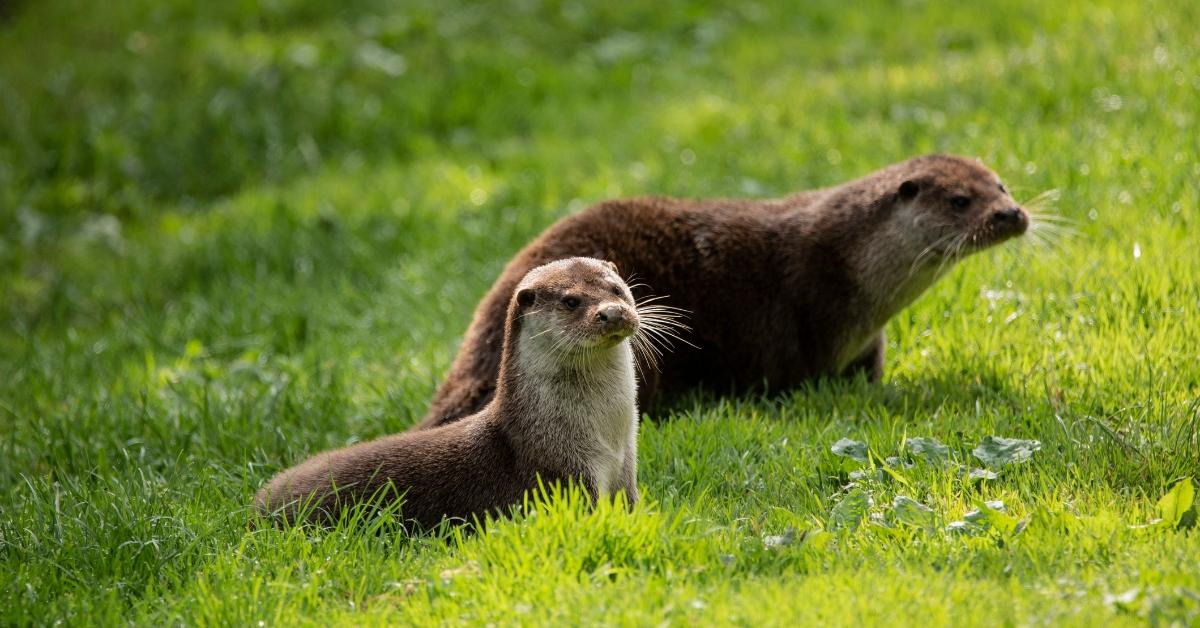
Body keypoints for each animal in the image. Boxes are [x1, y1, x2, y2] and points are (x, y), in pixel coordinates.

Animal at [253, 258, 648, 528]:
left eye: (616, 289)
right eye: (571, 301)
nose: (612, 313)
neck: (606, 435)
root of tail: (258, 501)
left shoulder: (627, 464)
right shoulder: (565, 471)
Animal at [417, 153, 1027, 432]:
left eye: (1000, 184)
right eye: (960, 201)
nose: (1013, 214)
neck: (846, 267)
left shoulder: (866, 345)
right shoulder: (795, 321)